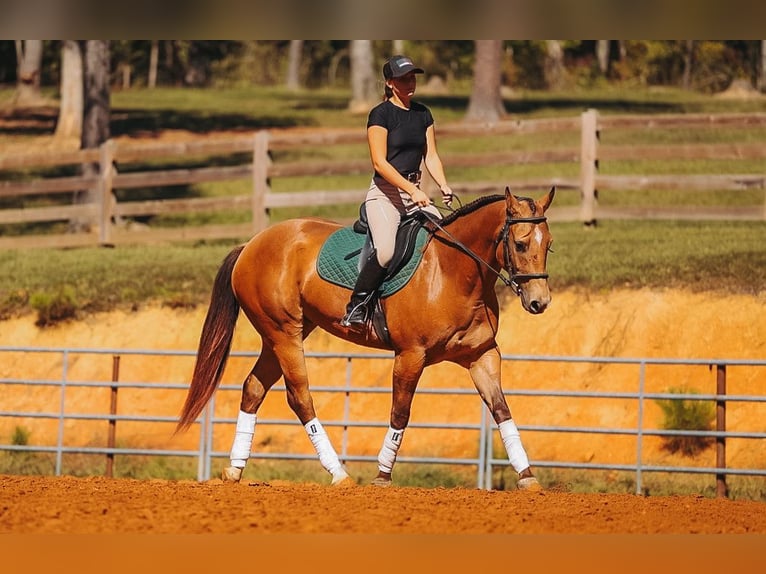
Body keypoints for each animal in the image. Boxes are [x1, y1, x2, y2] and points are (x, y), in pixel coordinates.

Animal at [177, 186, 555, 490]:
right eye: (521, 244)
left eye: (549, 245)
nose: (540, 303)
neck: (453, 270)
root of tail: (252, 243)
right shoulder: (410, 355)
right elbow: (400, 414)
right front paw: (382, 476)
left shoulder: (482, 355)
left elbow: (501, 410)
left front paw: (528, 477)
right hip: (284, 335)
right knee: (300, 397)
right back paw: (339, 474)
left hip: (281, 336)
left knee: (253, 387)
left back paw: (235, 470)